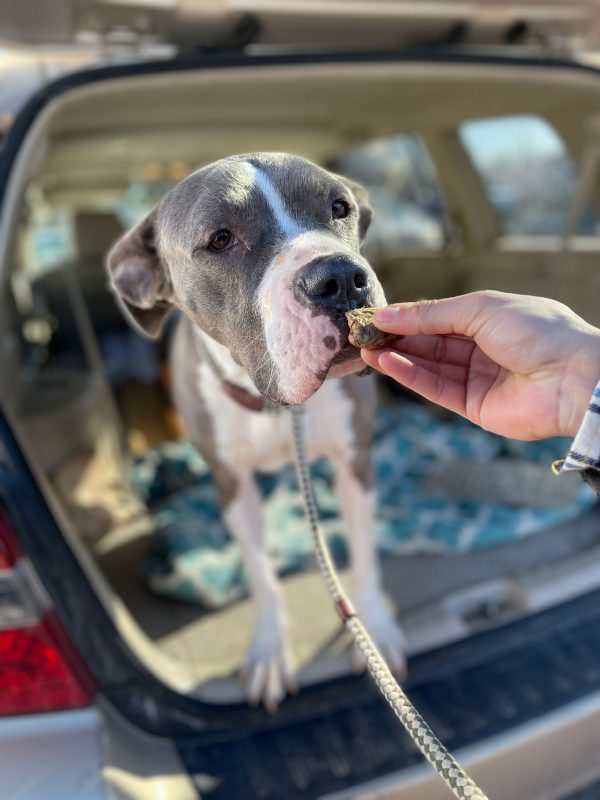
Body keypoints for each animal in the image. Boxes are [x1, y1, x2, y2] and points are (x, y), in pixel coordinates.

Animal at [108, 153, 408, 708]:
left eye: (339, 207)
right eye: (221, 239)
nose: (340, 277)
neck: (273, 407)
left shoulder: (354, 463)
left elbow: (364, 552)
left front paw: (375, 628)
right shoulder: (232, 485)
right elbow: (261, 574)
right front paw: (269, 651)